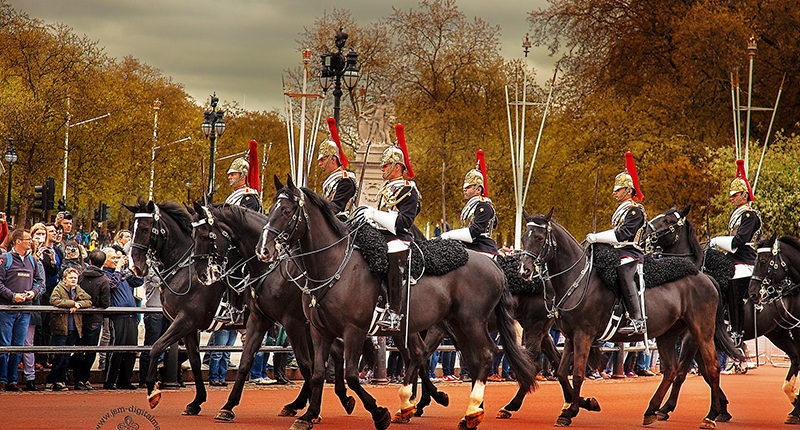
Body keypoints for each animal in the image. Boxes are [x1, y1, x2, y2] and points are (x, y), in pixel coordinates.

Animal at [253, 176, 536, 428]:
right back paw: (458, 408)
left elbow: (352, 376)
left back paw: (469, 413)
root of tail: (494, 264)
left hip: (471, 321)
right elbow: (318, 373)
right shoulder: (319, 330)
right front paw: (309, 415)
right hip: (455, 325)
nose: (263, 250)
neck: (333, 266)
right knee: (467, 359)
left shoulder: (354, 330)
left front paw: (379, 413)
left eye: (287, 210)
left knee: (487, 354)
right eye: (271, 209)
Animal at [520, 210, 736, 428]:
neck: (577, 280)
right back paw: (653, 410)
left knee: (711, 367)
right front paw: (583, 404)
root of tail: (705, 277)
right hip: (668, 334)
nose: (524, 270)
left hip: (702, 331)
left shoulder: (583, 335)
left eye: (539, 238)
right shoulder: (571, 337)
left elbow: (578, 374)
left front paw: (571, 411)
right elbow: (563, 373)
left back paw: (710, 415)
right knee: (672, 370)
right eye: (523, 238)